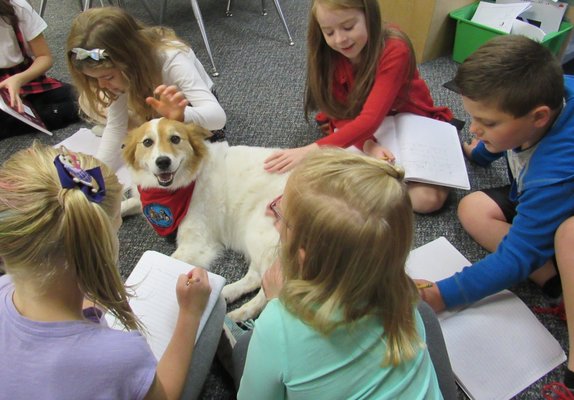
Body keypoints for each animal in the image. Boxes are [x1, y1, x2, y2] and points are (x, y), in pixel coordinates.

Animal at [123, 117, 290, 320]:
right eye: (147, 142)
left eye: (175, 139)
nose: (163, 161)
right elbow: (125, 204)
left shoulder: (196, 244)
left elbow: (168, 261)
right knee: (257, 278)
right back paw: (226, 294)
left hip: (259, 234)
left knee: (272, 290)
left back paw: (240, 313)